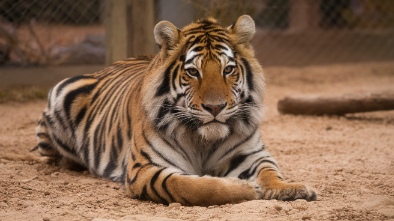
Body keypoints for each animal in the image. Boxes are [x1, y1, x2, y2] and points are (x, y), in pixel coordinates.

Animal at [34, 15, 318, 205]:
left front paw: (292, 188)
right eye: (193, 72)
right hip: (59, 95)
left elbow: (270, 173)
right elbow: (192, 187)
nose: (215, 107)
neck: (203, 140)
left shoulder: (251, 154)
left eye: (228, 69)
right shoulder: (146, 168)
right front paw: (247, 189)